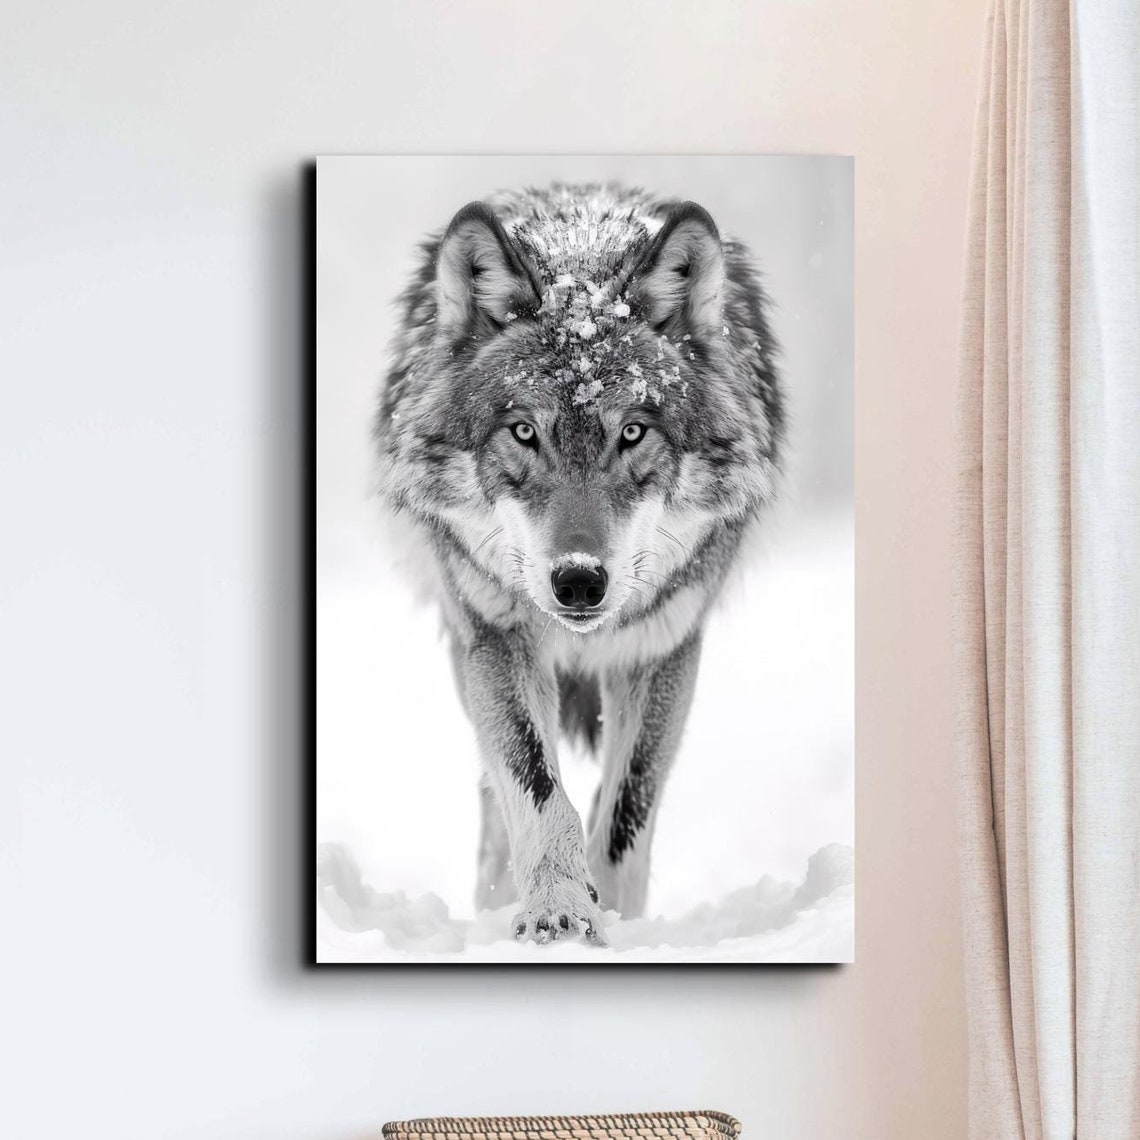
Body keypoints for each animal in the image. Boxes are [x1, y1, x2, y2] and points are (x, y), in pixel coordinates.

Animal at [374, 183, 783, 945]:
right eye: (523, 432)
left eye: (633, 432)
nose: (579, 581)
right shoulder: (495, 637)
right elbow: (536, 788)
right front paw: (558, 910)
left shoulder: (663, 649)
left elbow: (626, 809)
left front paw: (614, 916)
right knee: (493, 787)